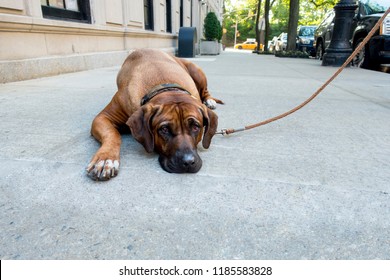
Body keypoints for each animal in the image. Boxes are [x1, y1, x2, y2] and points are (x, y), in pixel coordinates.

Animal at [87, 49, 224, 180]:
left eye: (196, 127)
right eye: (164, 129)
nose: (188, 162)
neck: (164, 85)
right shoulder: (103, 117)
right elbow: (111, 133)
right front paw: (105, 158)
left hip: (196, 70)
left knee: (205, 91)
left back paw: (209, 101)